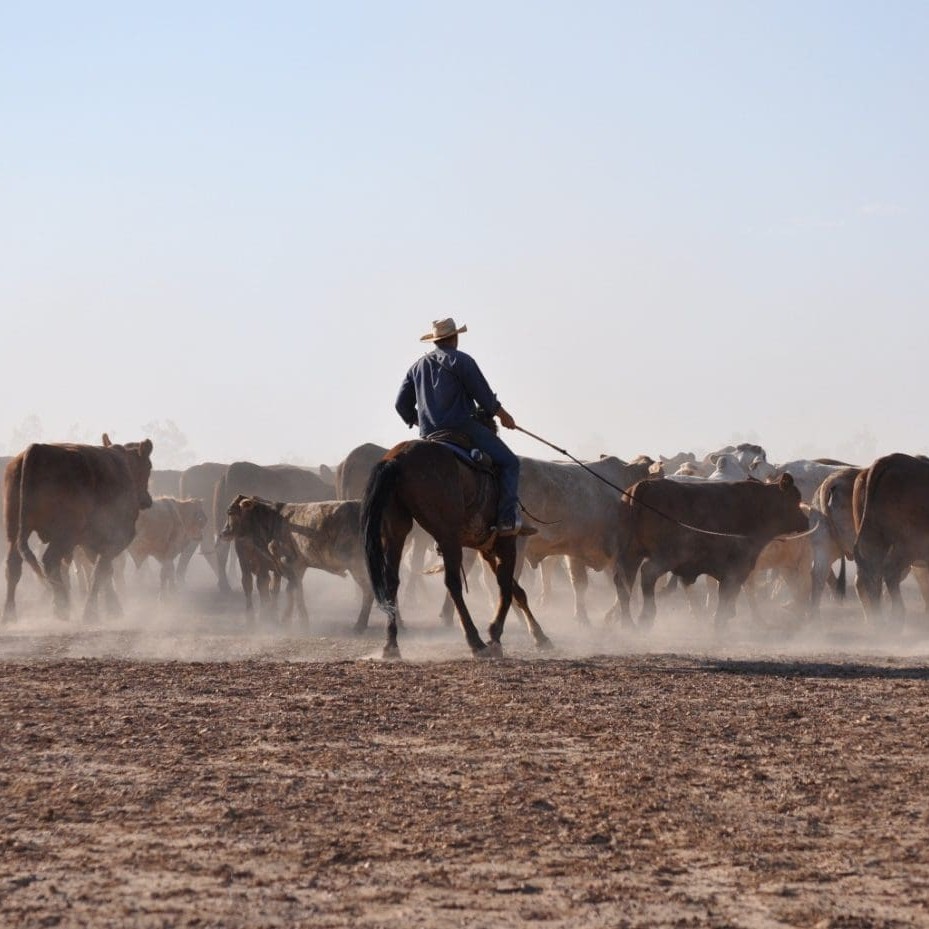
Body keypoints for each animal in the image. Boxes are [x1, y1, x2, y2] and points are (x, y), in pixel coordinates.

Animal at [3, 436, 152, 624]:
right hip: (63, 536)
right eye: (149, 466)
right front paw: (92, 613)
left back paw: (9, 615)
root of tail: (37, 449)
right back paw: (61, 606)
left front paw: (112, 608)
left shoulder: (89, 543)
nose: (147, 500)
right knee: (50, 561)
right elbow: (100, 572)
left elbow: (104, 571)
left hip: (15, 532)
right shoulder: (117, 539)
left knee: (14, 566)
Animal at [360, 438, 552, 656]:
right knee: (453, 583)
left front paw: (539, 635)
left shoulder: (486, 549)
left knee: (392, 581)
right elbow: (505, 587)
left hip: (396, 530)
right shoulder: (506, 544)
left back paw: (391, 644)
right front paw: (495, 634)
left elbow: (516, 590)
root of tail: (398, 459)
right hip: (448, 537)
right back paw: (476, 641)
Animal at [620, 474, 808, 628]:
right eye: (795, 498)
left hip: (631, 554)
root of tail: (645, 484)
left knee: (624, 580)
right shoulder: (737, 567)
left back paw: (627, 623)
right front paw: (720, 621)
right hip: (665, 556)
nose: (806, 521)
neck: (759, 505)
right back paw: (645, 617)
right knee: (647, 573)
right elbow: (726, 594)